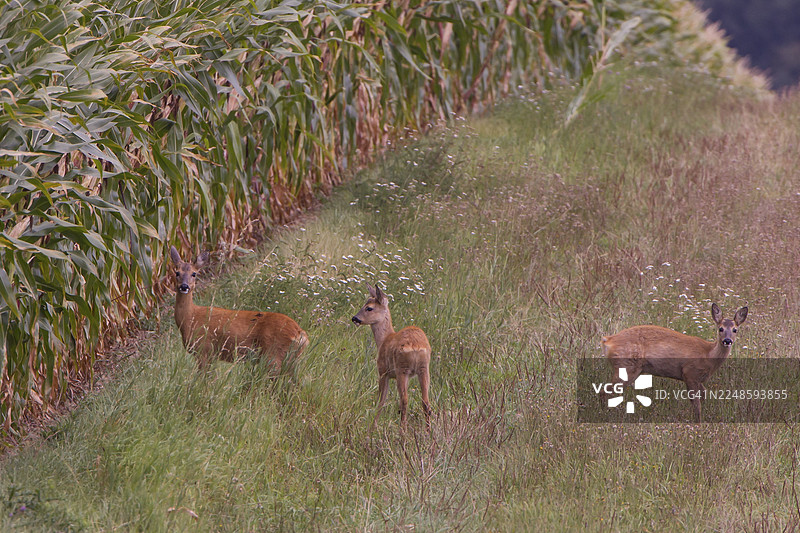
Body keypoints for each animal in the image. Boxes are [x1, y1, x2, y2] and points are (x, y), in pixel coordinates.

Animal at [170, 246, 309, 369]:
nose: (184, 286)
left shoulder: (204, 350)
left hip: (273, 355)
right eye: (177, 272)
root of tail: (300, 334)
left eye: (194, 274)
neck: (190, 318)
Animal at [352, 284, 432, 432]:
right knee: (425, 401)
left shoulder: (383, 371)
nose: (355, 318)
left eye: (369, 308)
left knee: (404, 400)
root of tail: (416, 345)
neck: (384, 340)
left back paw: (403, 431)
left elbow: (381, 401)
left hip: (402, 368)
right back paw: (428, 431)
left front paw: (372, 427)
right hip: (424, 368)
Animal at [602, 303, 748, 422]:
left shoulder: (698, 379)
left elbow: (704, 395)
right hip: (626, 366)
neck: (708, 354)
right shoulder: (690, 373)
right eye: (720, 328)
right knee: (606, 391)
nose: (727, 340)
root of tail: (608, 340)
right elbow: (696, 404)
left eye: (735, 330)